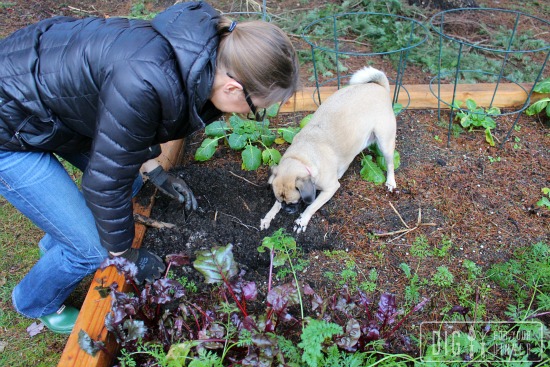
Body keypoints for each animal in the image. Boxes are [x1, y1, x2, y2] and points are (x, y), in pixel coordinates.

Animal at [262, 67, 396, 233]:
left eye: (294, 202)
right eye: (281, 201)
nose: (287, 209)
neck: (301, 158)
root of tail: (379, 87)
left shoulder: (330, 189)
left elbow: (312, 206)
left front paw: (302, 220)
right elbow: (275, 206)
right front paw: (269, 216)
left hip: (385, 142)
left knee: (390, 164)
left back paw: (391, 182)